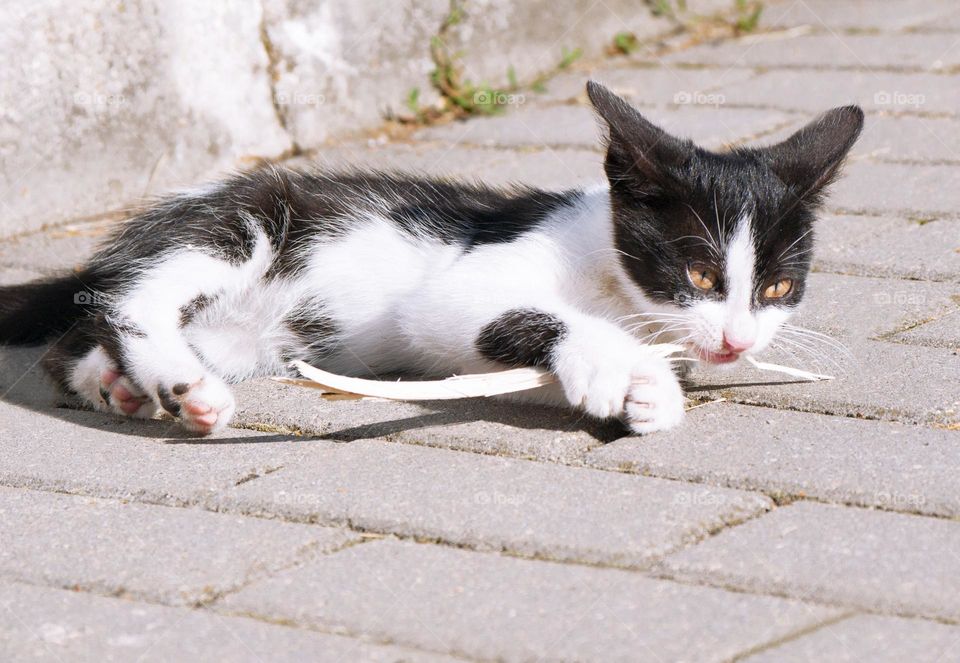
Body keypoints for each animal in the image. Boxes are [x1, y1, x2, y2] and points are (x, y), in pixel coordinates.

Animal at [0, 83, 868, 436]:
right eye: (697, 276)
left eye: (778, 286)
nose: (737, 340)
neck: (611, 277)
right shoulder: (461, 284)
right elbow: (523, 315)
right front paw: (621, 368)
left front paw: (649, 392)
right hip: (242, 221)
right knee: (128, 300)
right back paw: (180, 383)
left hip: (240, 334)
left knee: (69, 344)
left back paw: (123, 385)